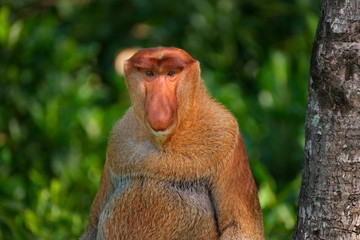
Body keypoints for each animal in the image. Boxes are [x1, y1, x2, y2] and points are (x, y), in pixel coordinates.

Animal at [80, 47, 262, 240]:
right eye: (149, 73)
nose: (159, 107)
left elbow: (239, 226)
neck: (163, 142)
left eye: (171, 73)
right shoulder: (118, 138)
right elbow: (92, 226)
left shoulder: (227, 135)